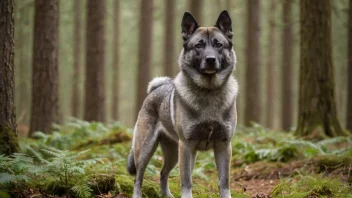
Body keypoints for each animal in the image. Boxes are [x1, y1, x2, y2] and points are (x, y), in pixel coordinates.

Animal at [127, 10, 239, 197]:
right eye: (199, 45)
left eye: (219, 45)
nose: (210, 59)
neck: (209, 91)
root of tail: (155, 89)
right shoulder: (186, 146)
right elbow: (186, 181)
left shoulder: (224, 146)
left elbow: (224, 182)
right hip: (146, 149)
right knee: (138, 177)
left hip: (173, 152)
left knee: (163, 172)